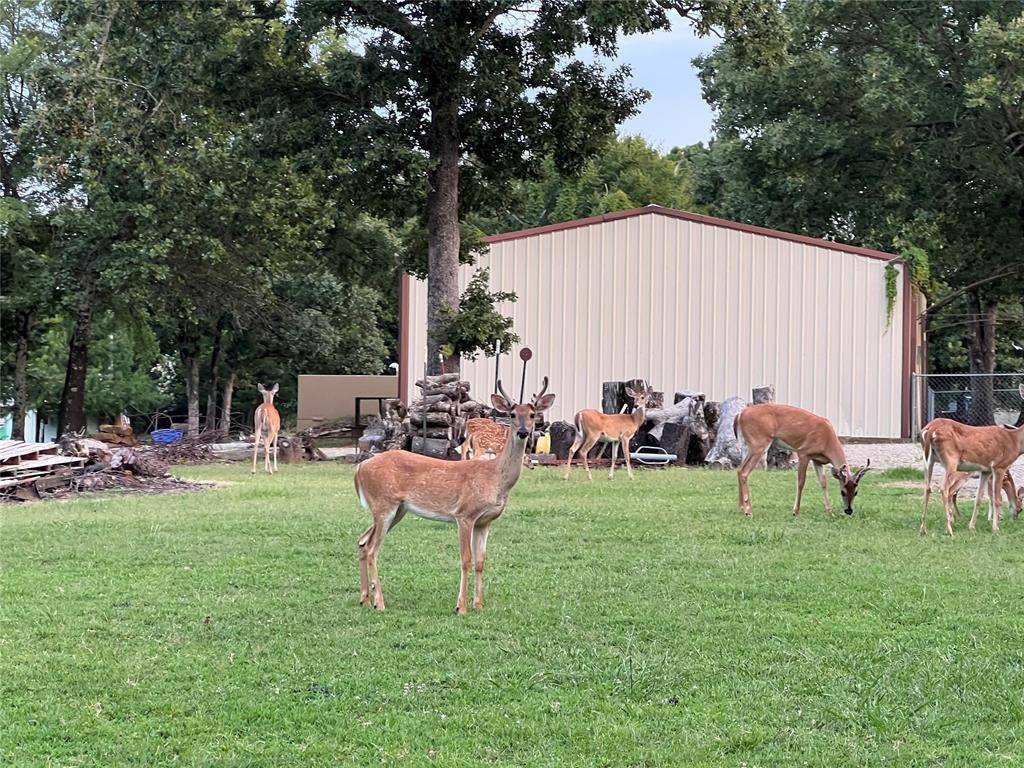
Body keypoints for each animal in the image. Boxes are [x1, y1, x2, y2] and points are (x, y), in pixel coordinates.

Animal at [353, 378, 555, 614]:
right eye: (513, 414)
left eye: (532, 414)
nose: (523, 432)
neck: (495, 477)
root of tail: (359, 468)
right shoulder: (464, 514)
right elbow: (466, 559)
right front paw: (461, 607)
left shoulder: (485, 521)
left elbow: (481, 561)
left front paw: (479, 604)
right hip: (384, 504)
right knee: (372, 549)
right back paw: (379, 602)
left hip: (397, 509)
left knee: (362, 542)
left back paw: (365, 599)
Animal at [735, 403, 871, 517]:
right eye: (842, 492)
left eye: (856, 492)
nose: (849, 510)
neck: (827, 441)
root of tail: (740, 414)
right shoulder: (803, 453)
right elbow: (801, 482)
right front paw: (796, 511)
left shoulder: (817, 460)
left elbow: (823, 482)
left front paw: (830, 511)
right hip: (759, 442)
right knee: (744, 472)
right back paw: (748, 511)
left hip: (746, 445)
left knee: (739, 469)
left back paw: (741, 508)